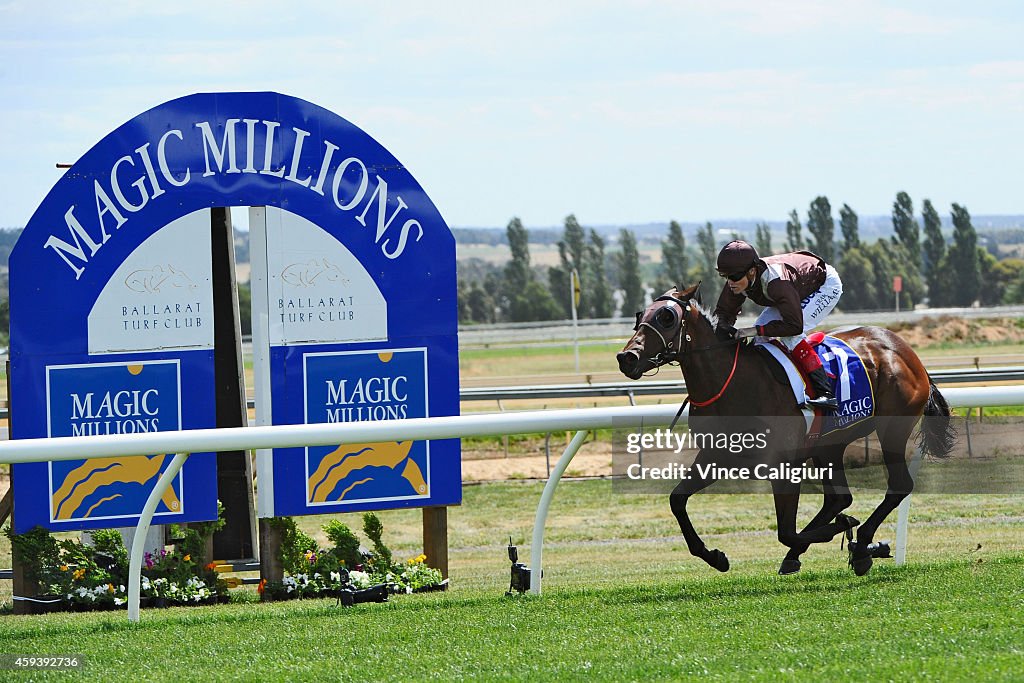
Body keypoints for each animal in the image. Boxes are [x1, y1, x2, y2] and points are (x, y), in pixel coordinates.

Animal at [614, 284, 958, 577]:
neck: (732, 384)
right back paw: (840, 549)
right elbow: (677, 500)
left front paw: (849, 533)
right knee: (839, 498)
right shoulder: (717, 455)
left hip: (892, 429)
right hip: (829, 444)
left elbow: (786, 531)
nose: (626, 357)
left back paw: (862, 544)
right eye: (639, 316)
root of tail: (904, 350)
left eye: (667, 317)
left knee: (897, 485)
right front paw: (715, 556)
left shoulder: (783, 464)